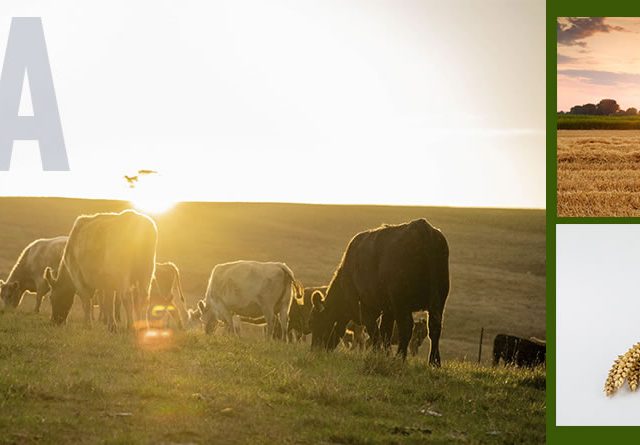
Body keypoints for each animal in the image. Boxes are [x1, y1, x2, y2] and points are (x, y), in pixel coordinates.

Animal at [310, 218, 450, 364]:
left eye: (315, 322)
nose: (314, 350)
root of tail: (421, 227)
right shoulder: (388, 309)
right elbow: (385, 331)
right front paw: (385, 355)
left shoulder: (367, 307)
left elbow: (375, 331)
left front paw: (377, 354)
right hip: (438, 299)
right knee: (434, 326)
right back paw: (434, 362)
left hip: (401, 302)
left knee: (406, 327)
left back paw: (400, 357)